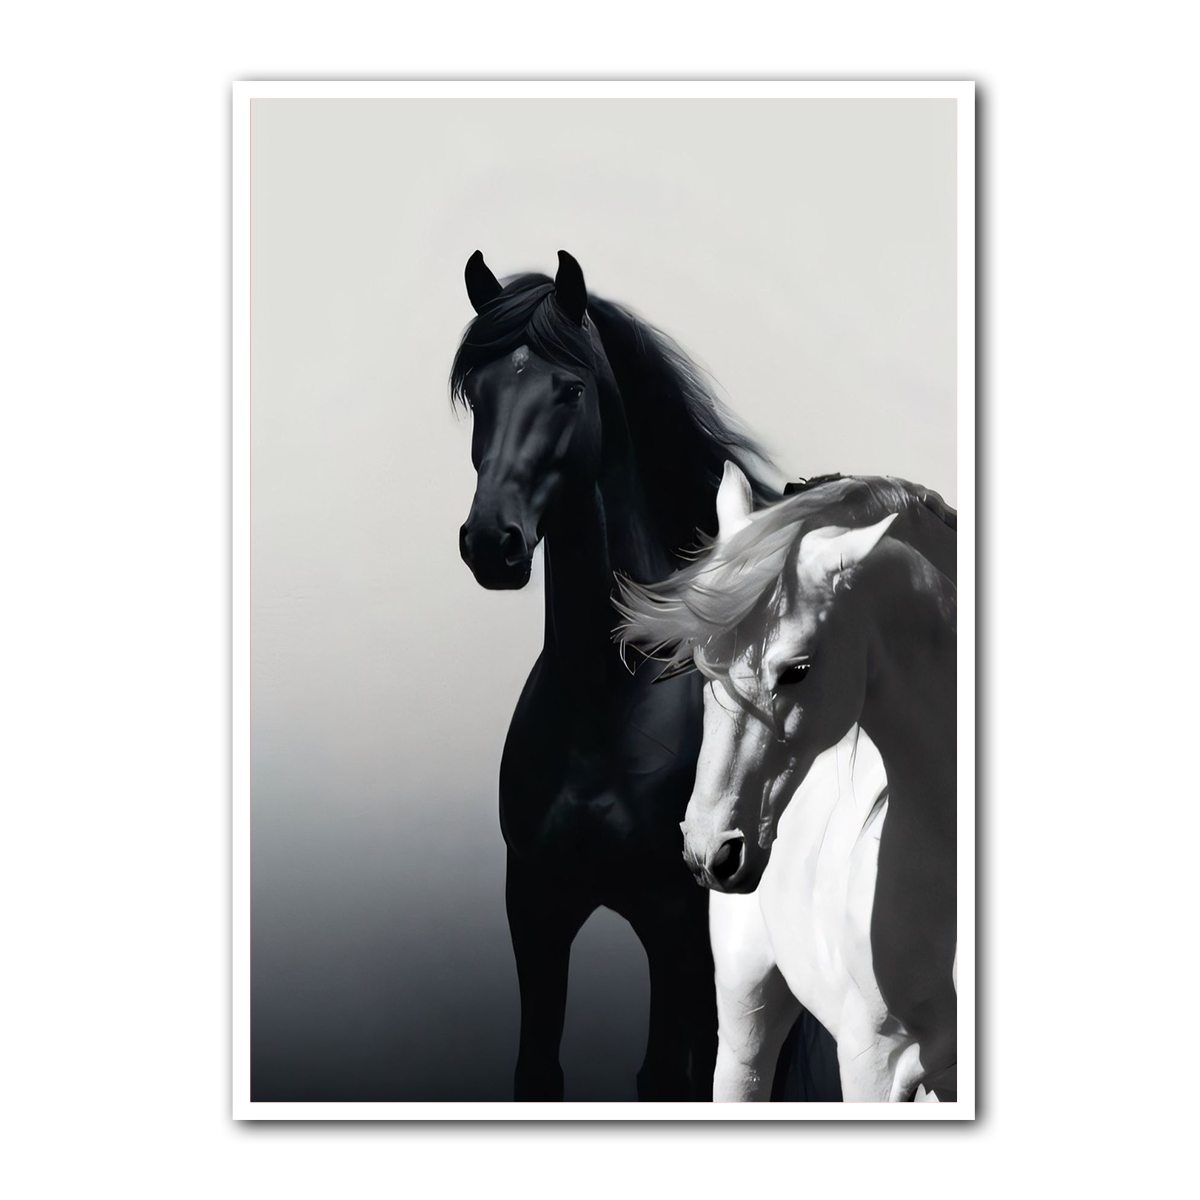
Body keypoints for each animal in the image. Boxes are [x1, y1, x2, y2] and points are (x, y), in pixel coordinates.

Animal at [450, 250, 784, 1100]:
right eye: (478, 394)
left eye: (569, 390)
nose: (491, 543)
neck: (603, 704)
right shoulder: (535, 909)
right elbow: (538, 1069)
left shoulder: (675, 925)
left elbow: (667, 1075)